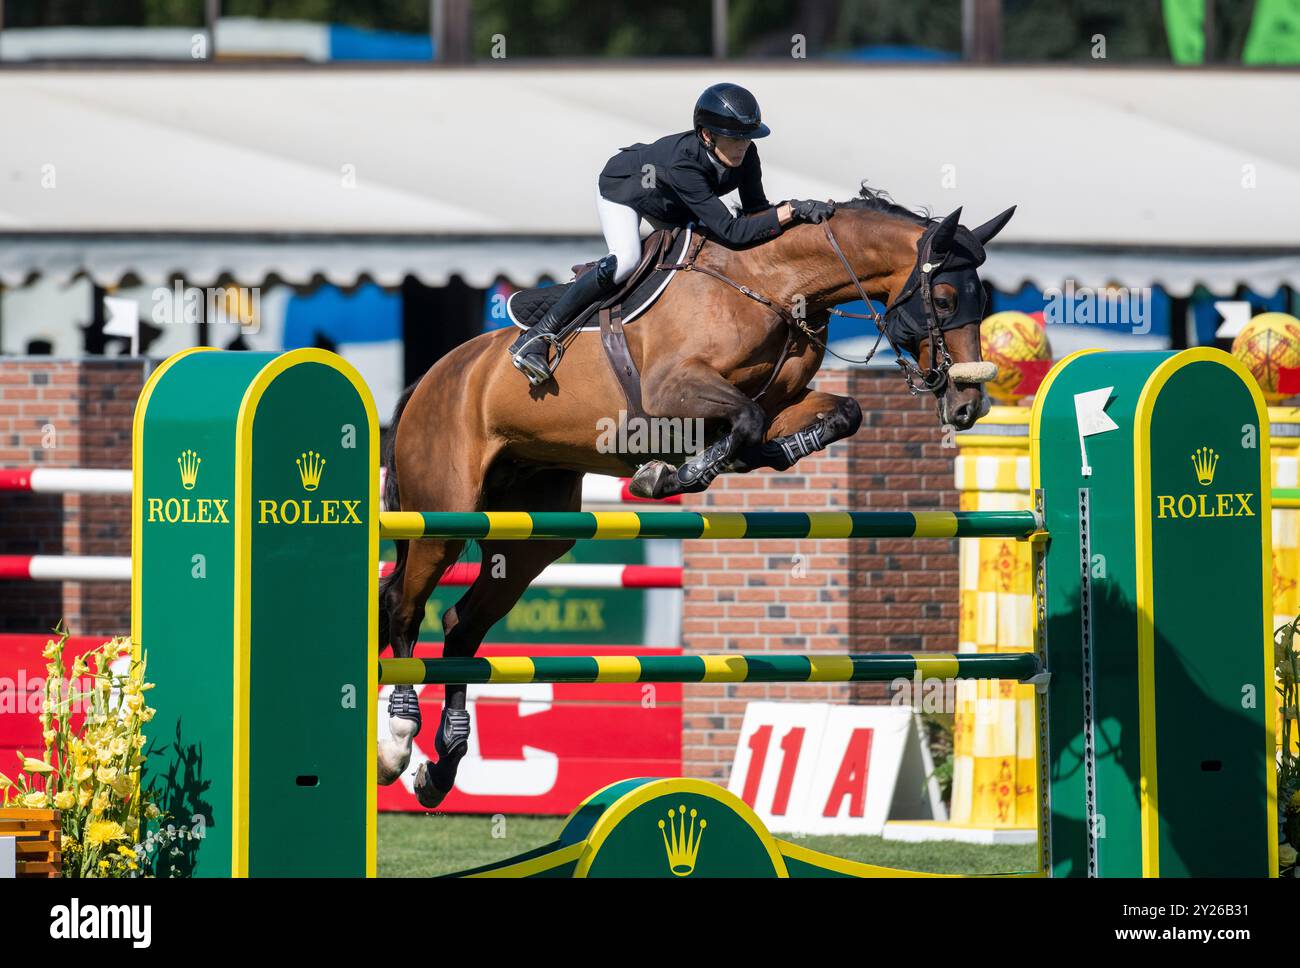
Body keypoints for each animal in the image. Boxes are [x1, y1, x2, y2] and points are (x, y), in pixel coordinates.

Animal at [377, 191, 1013, 805]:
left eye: (984, 299)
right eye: (946, 298)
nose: (967, 406)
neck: (775, 284)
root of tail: (431, 378)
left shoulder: (783, 400)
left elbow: (834, 414)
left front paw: (729, 462)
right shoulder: (672, 392)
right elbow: (747, 419)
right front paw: (674, 473)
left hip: (536, 533)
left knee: (462, 623)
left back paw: (443, 767)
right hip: (444, 515)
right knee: (406, 607)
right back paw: (400, 742)